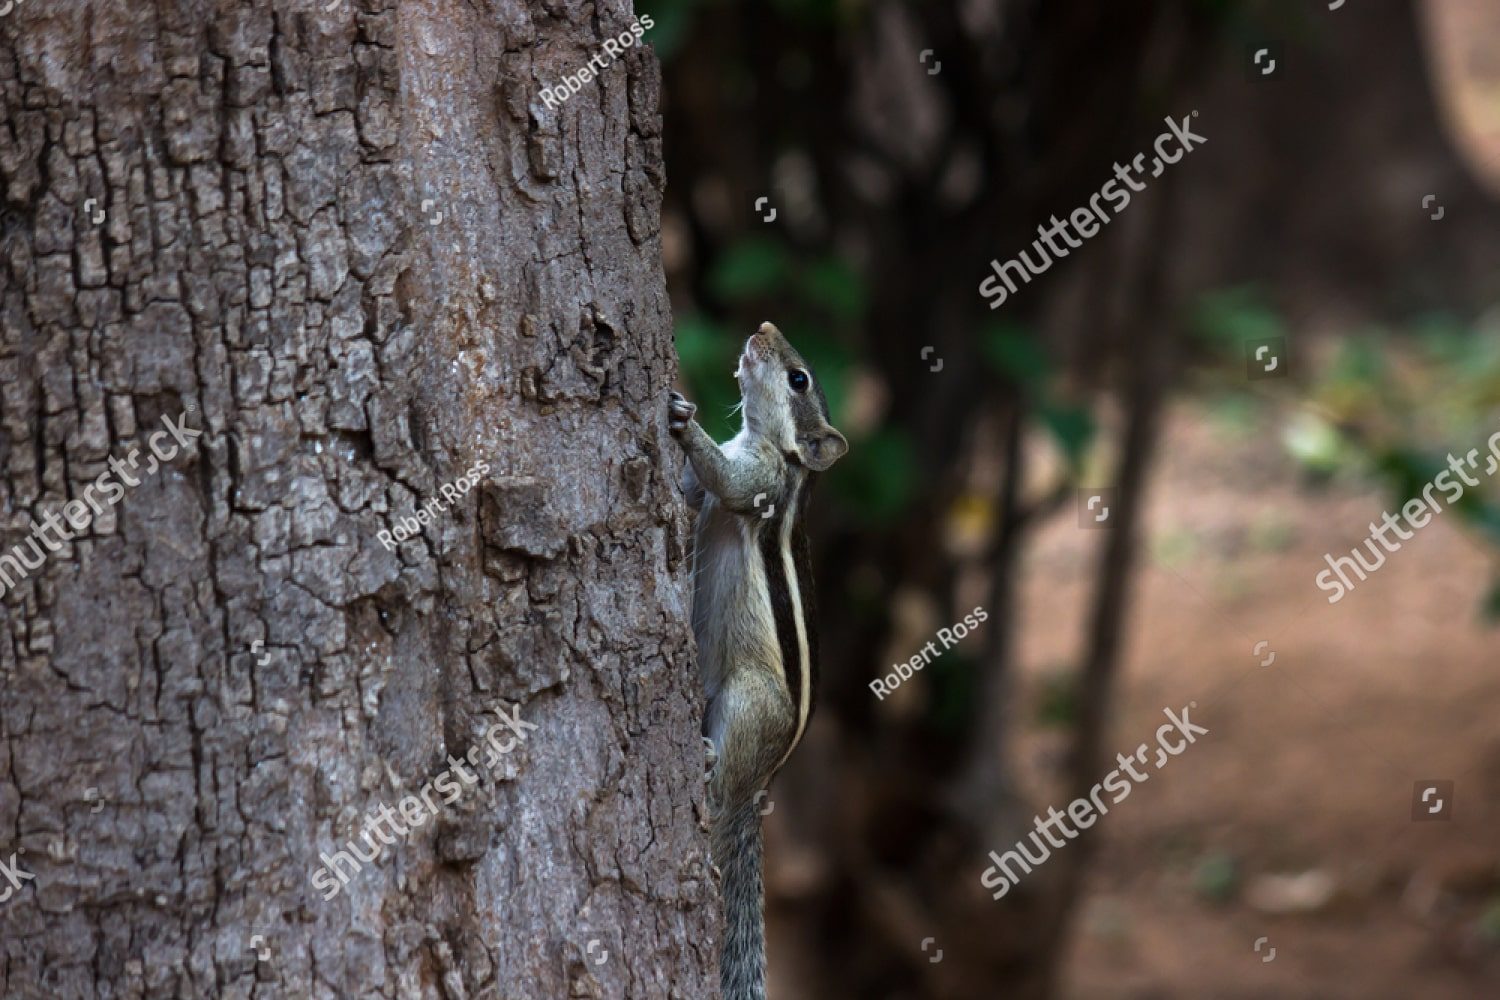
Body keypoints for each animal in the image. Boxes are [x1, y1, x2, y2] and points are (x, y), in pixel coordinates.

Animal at [669, 322, 848, 1000]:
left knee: (721, 788)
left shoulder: (758, 477)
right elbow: (693, 492)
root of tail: (762, 785)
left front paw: (684, 421)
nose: (763, 328)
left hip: (751, 701)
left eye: (799, 379)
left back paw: (710, 761)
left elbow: (725, 479)